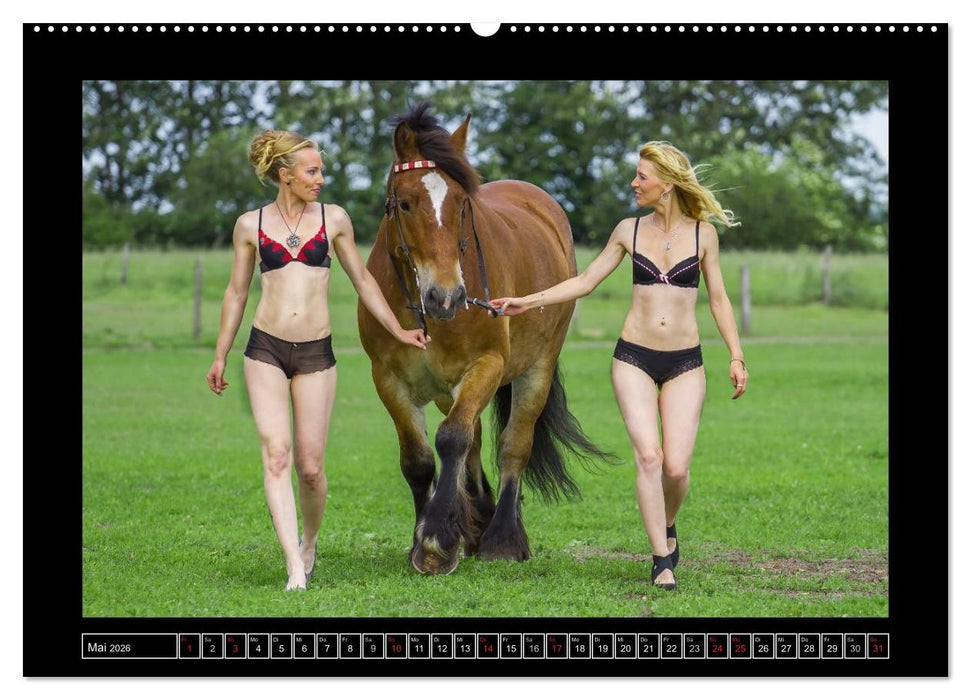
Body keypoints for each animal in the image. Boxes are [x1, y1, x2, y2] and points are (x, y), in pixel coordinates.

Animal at [357, 101, 612, 575]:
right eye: (405, 204)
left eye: (462, 204)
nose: (447, 296)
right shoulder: (388, 378)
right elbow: (419, 459)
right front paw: (429, 538)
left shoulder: (487, 365)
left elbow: (452, 439)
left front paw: (437, 540)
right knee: (472, 439)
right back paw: (475, 522)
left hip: (535, 370)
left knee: (512, 445)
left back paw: (503, 538)